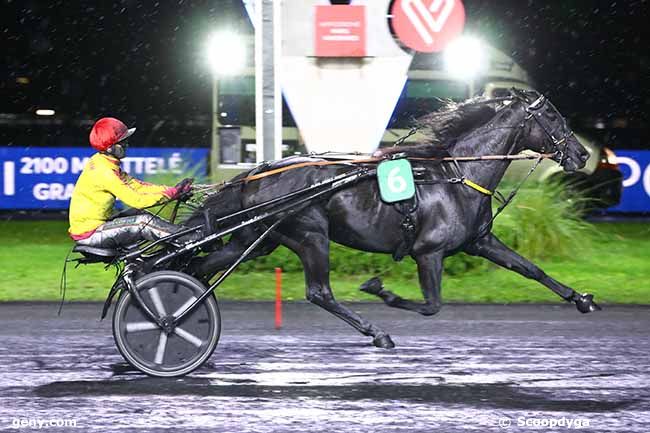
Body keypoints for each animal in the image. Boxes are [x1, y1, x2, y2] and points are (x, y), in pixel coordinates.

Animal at [186, 88, 596, 348]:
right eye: (552, 116)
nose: (582, 154)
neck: (457, 174)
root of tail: (257, 173)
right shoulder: (428, 252)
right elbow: (431, 305)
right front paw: (379, 289)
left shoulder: (480, 242)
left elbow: (530, 269)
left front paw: (581, 298)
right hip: (310, 235)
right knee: (320, 292)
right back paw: (377, 333)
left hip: (257, 240)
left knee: (202, 266)